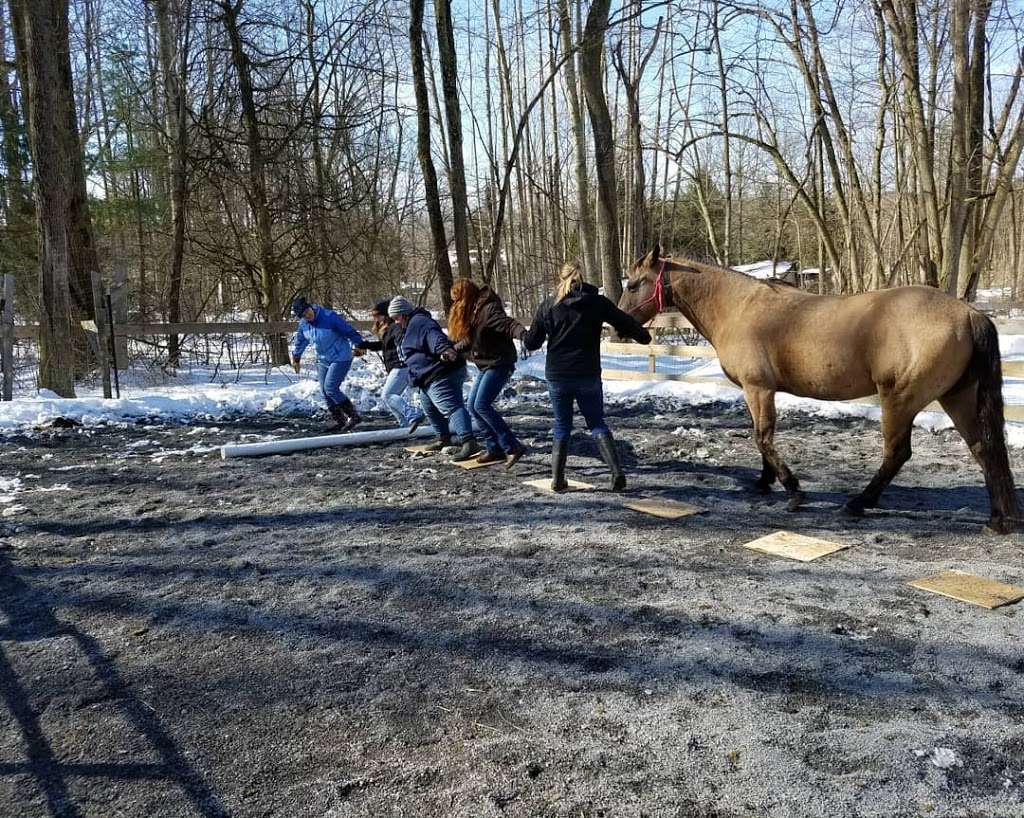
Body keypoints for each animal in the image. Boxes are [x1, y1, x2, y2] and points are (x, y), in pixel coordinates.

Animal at [610, 246, 1019, 532]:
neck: (739, 308)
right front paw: (764, 482)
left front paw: (793, 491)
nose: (620, 327)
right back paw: (997, 519)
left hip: (899, 399)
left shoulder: (758, 388)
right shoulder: (758, 392)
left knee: (898, 453)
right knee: (984, 449)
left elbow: (762, 437)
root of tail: (970, 314)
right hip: (957, 397)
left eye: (633, 284)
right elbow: (761, 437)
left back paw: (858, 503)